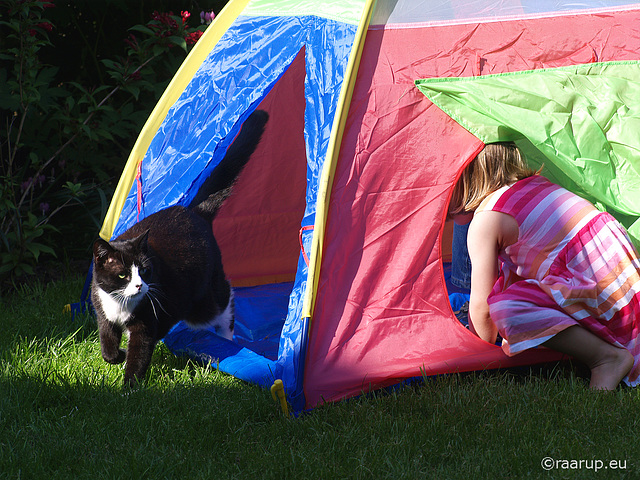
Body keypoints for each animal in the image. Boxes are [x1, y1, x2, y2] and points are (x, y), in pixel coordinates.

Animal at [90, 109, 268, 386]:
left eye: (145, 270)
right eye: (122, 275)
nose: (140, 286)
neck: (121, 305)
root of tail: (196, 211)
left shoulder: (146, 322)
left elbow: (139, 354)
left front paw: (129, 386)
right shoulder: (102, 309)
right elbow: (107, 344)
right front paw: (116, 356)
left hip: (201, 300)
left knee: (225, 299)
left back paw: (225, 338)